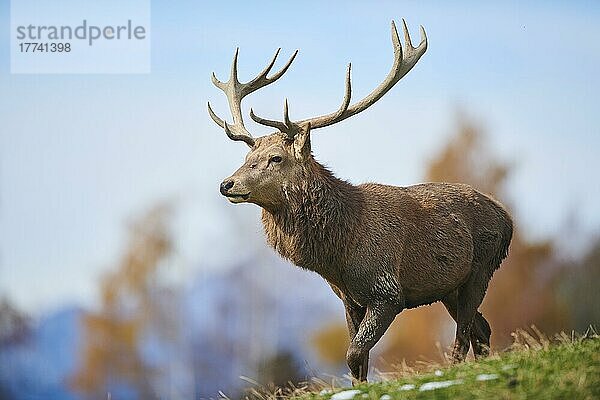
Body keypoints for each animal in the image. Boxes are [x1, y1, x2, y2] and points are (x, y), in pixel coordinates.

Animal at [206, 19, 510, 382]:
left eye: (276, 158)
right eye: (248, 156)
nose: (226, 184)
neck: (338, 252)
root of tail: (508, 219)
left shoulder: (387, 291)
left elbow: (353, 354)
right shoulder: (348, 298)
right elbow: (357, 362)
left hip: (481, 268)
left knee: (464, 333)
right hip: (450, 287)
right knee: (482, 328)